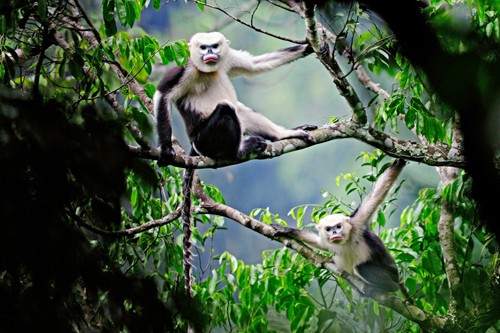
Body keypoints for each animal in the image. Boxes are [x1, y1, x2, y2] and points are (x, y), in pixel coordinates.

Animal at [274, 158, 410, 296]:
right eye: (328, 229)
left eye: (338, 226)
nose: (334, 233)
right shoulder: (327, 242)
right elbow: (319, 243)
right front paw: (287, 230)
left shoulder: (357, 223)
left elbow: (377, 195)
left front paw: (399, 162)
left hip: (391, 274)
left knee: (362, 268)